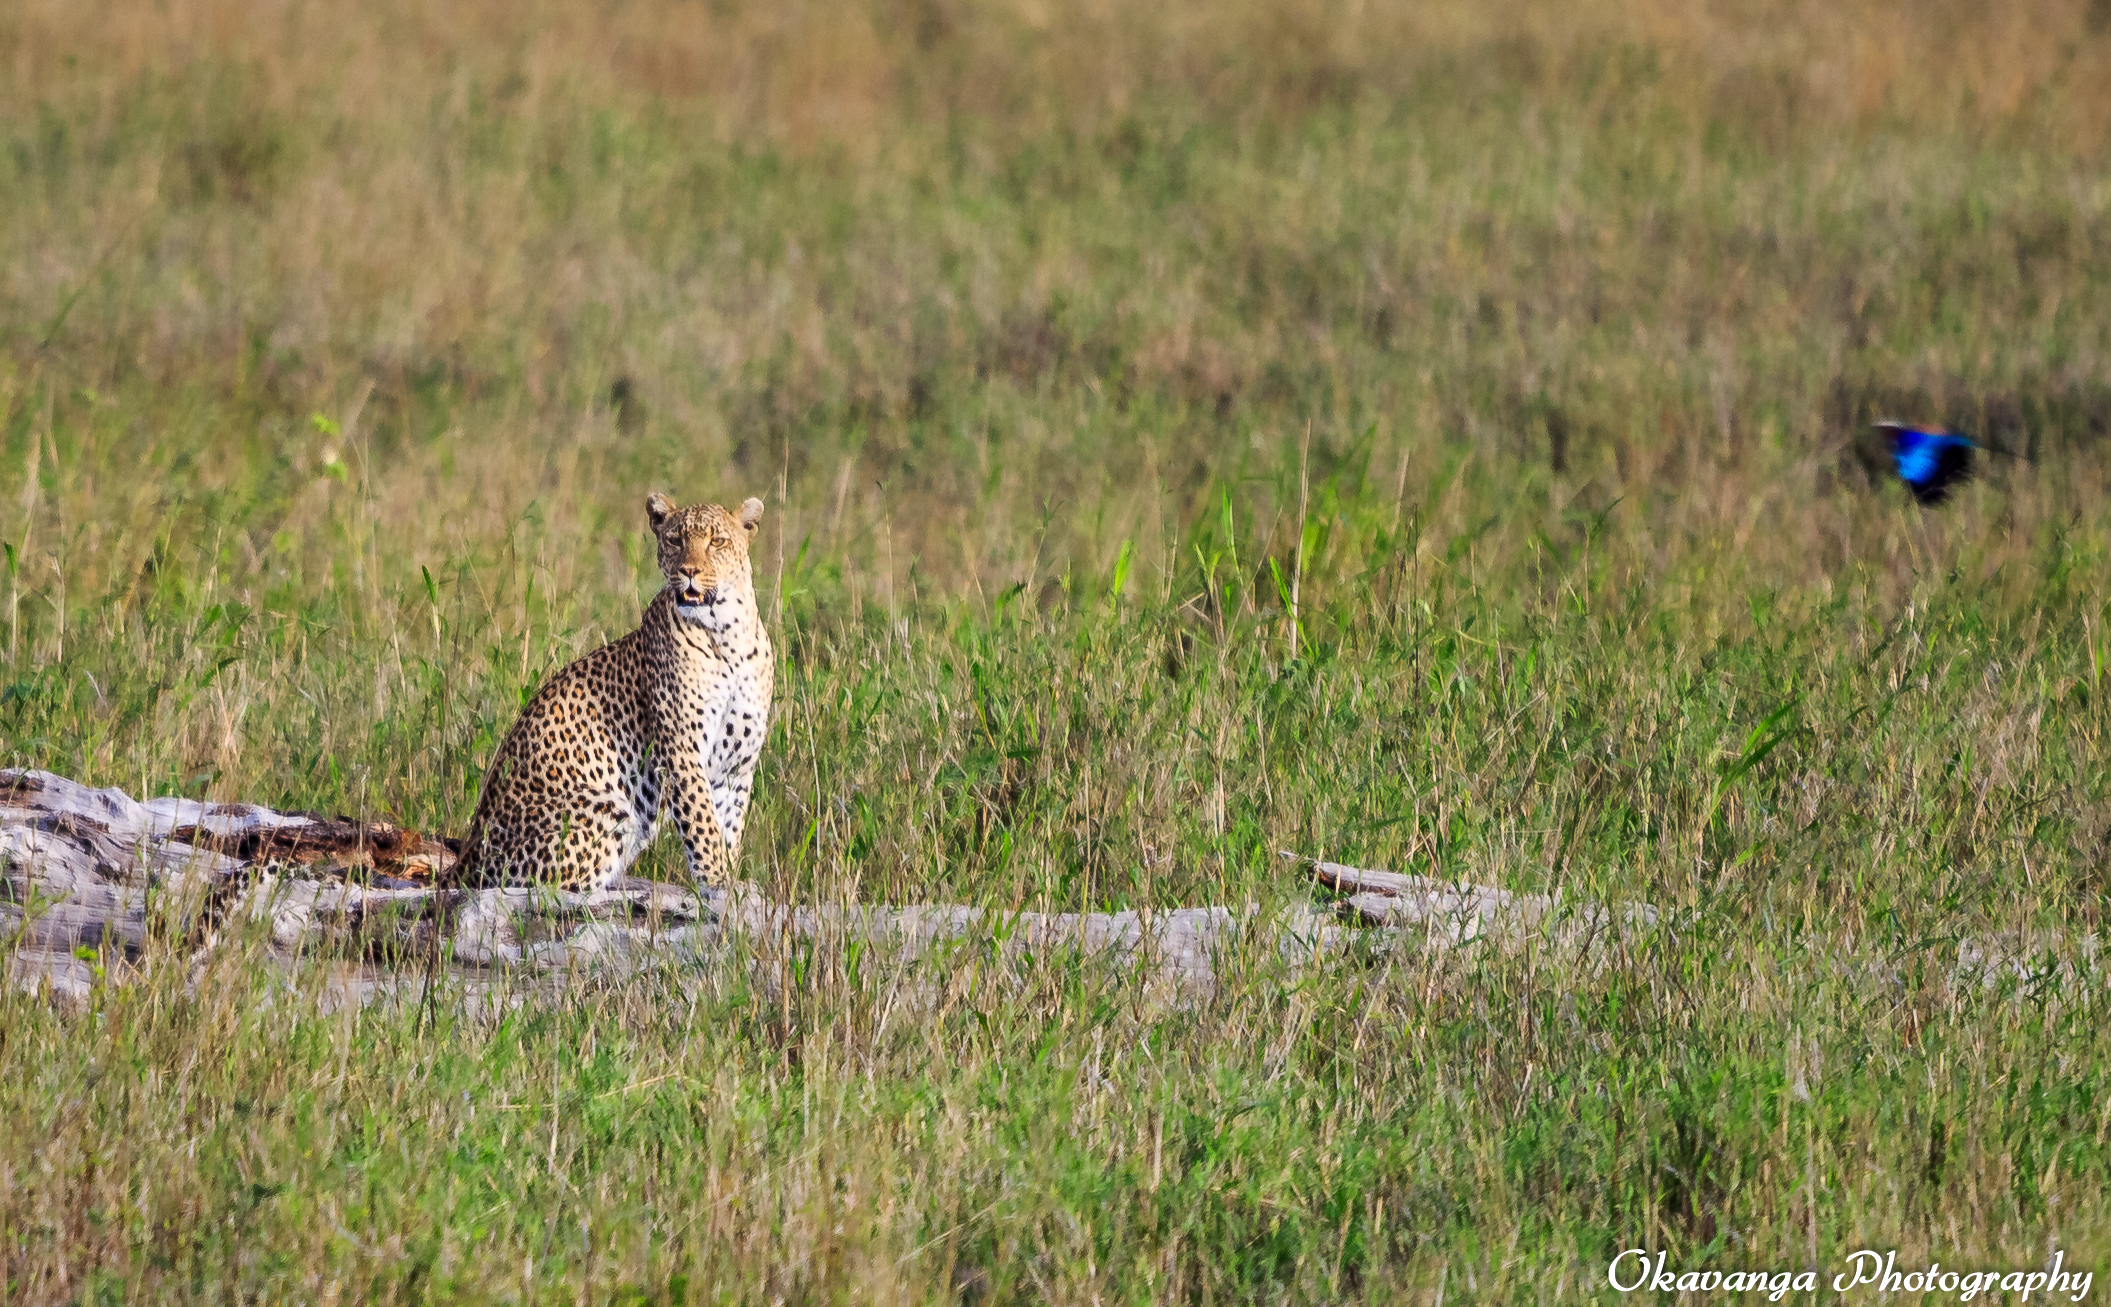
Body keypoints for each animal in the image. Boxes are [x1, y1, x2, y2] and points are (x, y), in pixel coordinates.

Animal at [451, 494, 776, 899]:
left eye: (717, 542)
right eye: (674, 540)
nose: (689, 571)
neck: (726, 632)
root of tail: (463, 858)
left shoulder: (738, 760)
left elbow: (728, 824)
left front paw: (728, 878)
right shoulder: (682, 748)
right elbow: (702, 820)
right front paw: (716, 880)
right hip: (607, 809)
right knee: (556, 887)